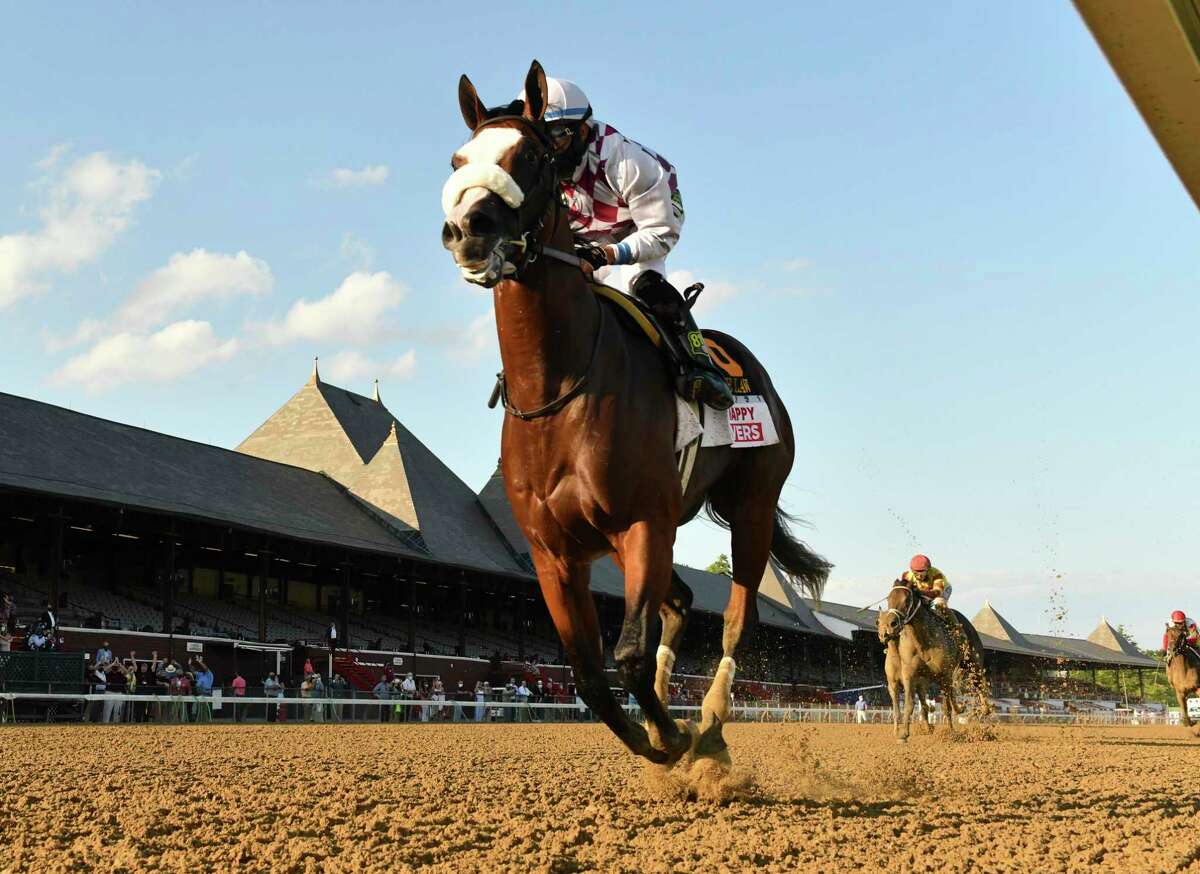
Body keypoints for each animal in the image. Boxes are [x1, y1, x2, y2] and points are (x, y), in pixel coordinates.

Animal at [444, 61, 835, 768]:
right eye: (459, 160)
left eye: (530, 157)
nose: (468, 227)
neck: (559, 389)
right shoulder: (553, 552)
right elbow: (588, 675)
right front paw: (658, 738)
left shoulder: (642, 523)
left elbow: (625, 656)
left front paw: (679, 737)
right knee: (678, 603)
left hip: (751, 504)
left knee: (735, 615)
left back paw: (710, 720)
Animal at [878, 576, 988, 739]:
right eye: (889, 599)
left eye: (906, 599)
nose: (890, 625)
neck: (923, 642)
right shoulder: (908, 676)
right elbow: (909, 704)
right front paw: (903, 733)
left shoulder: (944, 674)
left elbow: (946, 707)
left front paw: (951, 733)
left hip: (972, 664)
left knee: (979, 685)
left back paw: (983, 709)